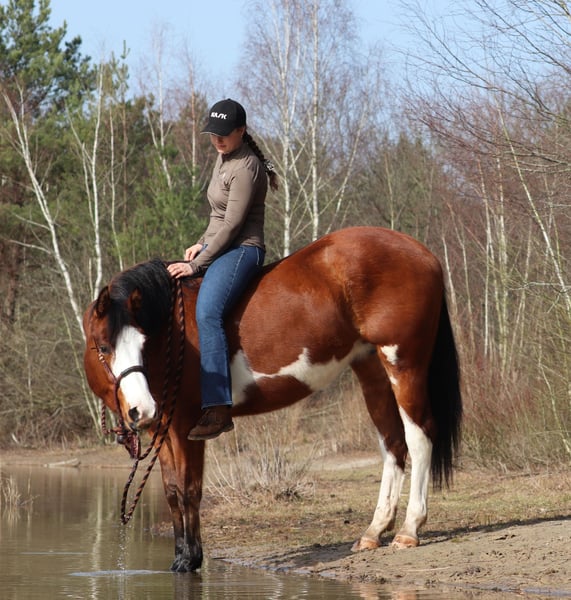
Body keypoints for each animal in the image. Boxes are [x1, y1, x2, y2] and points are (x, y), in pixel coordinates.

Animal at [82, 226, 462, 572]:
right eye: (103, 347)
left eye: (142, 344)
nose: (141, 409)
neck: (171, 331)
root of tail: (421, 252)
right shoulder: (162, 428)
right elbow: (173, 491)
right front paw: (182, 559)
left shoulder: (184, 427)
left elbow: (189, 489)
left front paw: (190, 560)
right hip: (372, 371)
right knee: (392, 443)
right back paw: (374, 532)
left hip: (404, 364)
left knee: (419, 437)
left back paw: (409, 530)